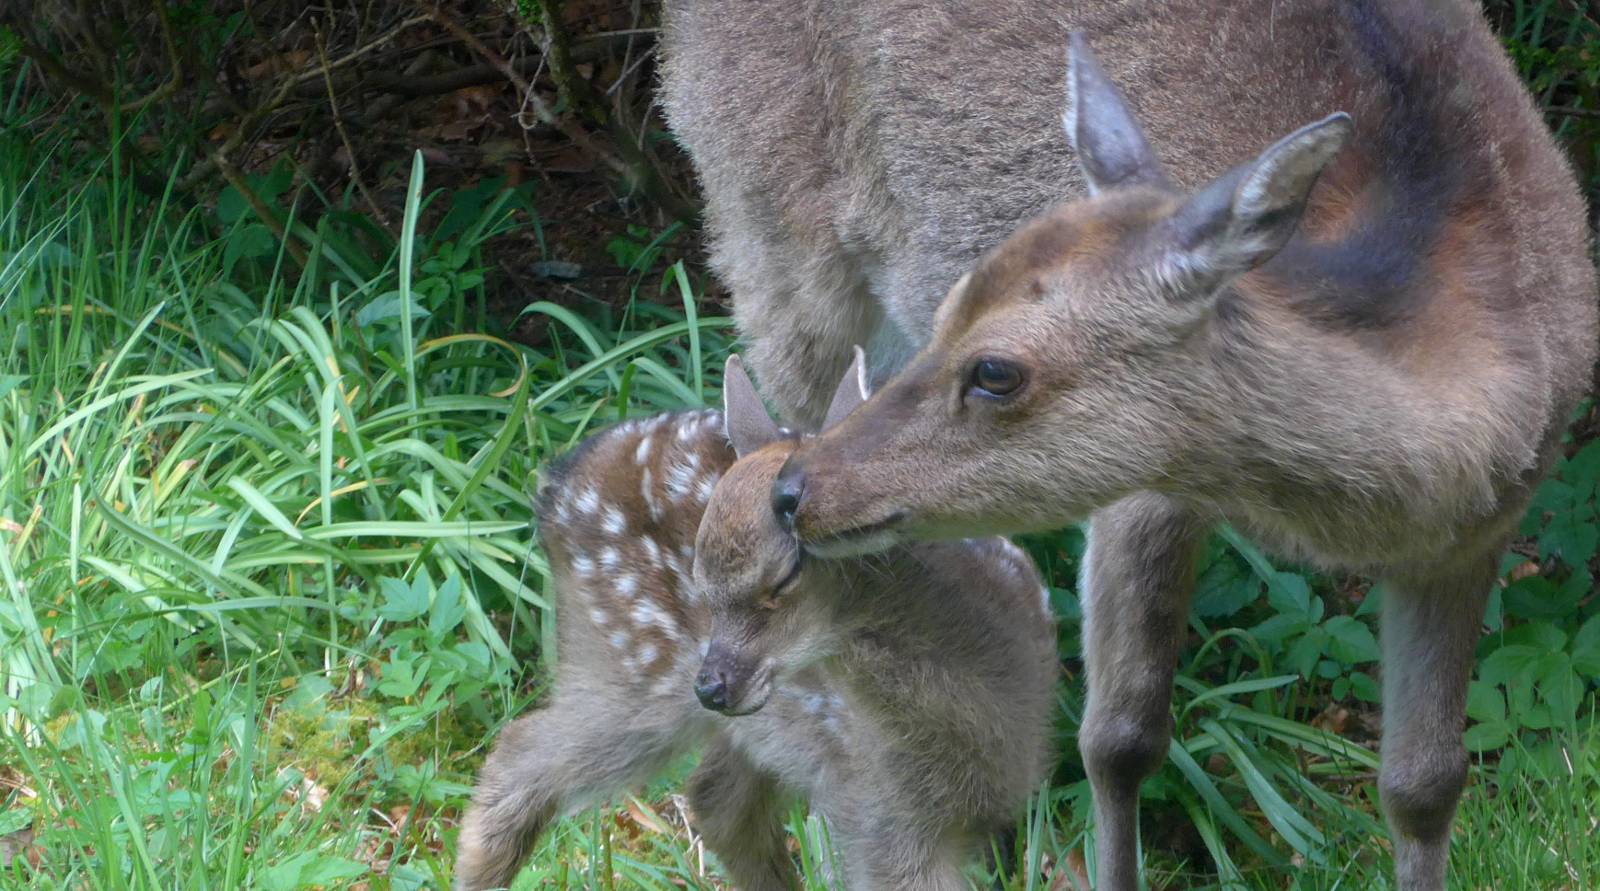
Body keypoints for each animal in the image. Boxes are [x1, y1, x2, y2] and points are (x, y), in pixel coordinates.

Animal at [451, 355, 1056, 889]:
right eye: (699, 573)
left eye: (785, 576)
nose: (712, 686)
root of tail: (557, 482)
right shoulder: (875, 815)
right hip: (631, 673)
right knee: (521, 753)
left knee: (714, 799)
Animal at [656, 1, 1593, 889]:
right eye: (954, 307)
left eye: (996, 369)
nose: (797, 492)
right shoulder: (1145, 491)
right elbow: (1120, 737)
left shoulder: (1476, 535)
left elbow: (1426, 781)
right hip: (768, 232)